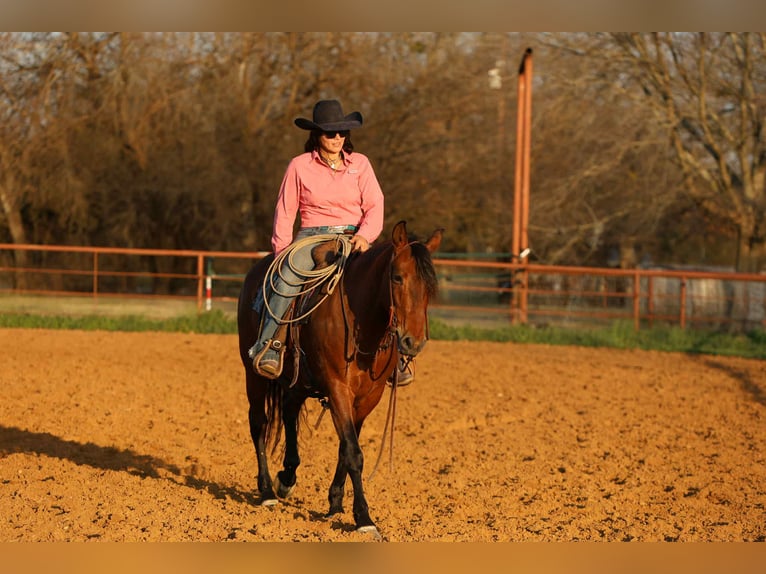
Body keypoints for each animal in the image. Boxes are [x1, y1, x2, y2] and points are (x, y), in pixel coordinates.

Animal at [237, 220, 443, 538]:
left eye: (430, 286)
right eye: (397, 277)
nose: (413, 342)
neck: (363, 321)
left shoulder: (368, 397)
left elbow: (346, 448)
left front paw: (335, 503)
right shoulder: (337, 389)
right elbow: (354, 453)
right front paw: (364, 518)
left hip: (299, 381)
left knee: (289, 412)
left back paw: (287, 477)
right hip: (254, 375)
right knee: (259, 424)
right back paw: (268, 491)